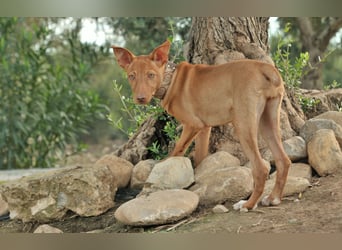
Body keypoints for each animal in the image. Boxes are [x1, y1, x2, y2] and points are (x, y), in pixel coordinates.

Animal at [112, 39, 292, 211]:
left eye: (151, 75)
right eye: (132, 76)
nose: (140, 98)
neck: (171, 79)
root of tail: (265, 68)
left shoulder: (193, 125)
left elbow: (176, 151)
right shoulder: (204, 128)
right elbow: (200, 158)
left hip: (243, 124)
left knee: (261, 168)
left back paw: (248, 204)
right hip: (267, 121)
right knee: (283, 160)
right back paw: (273, 198)